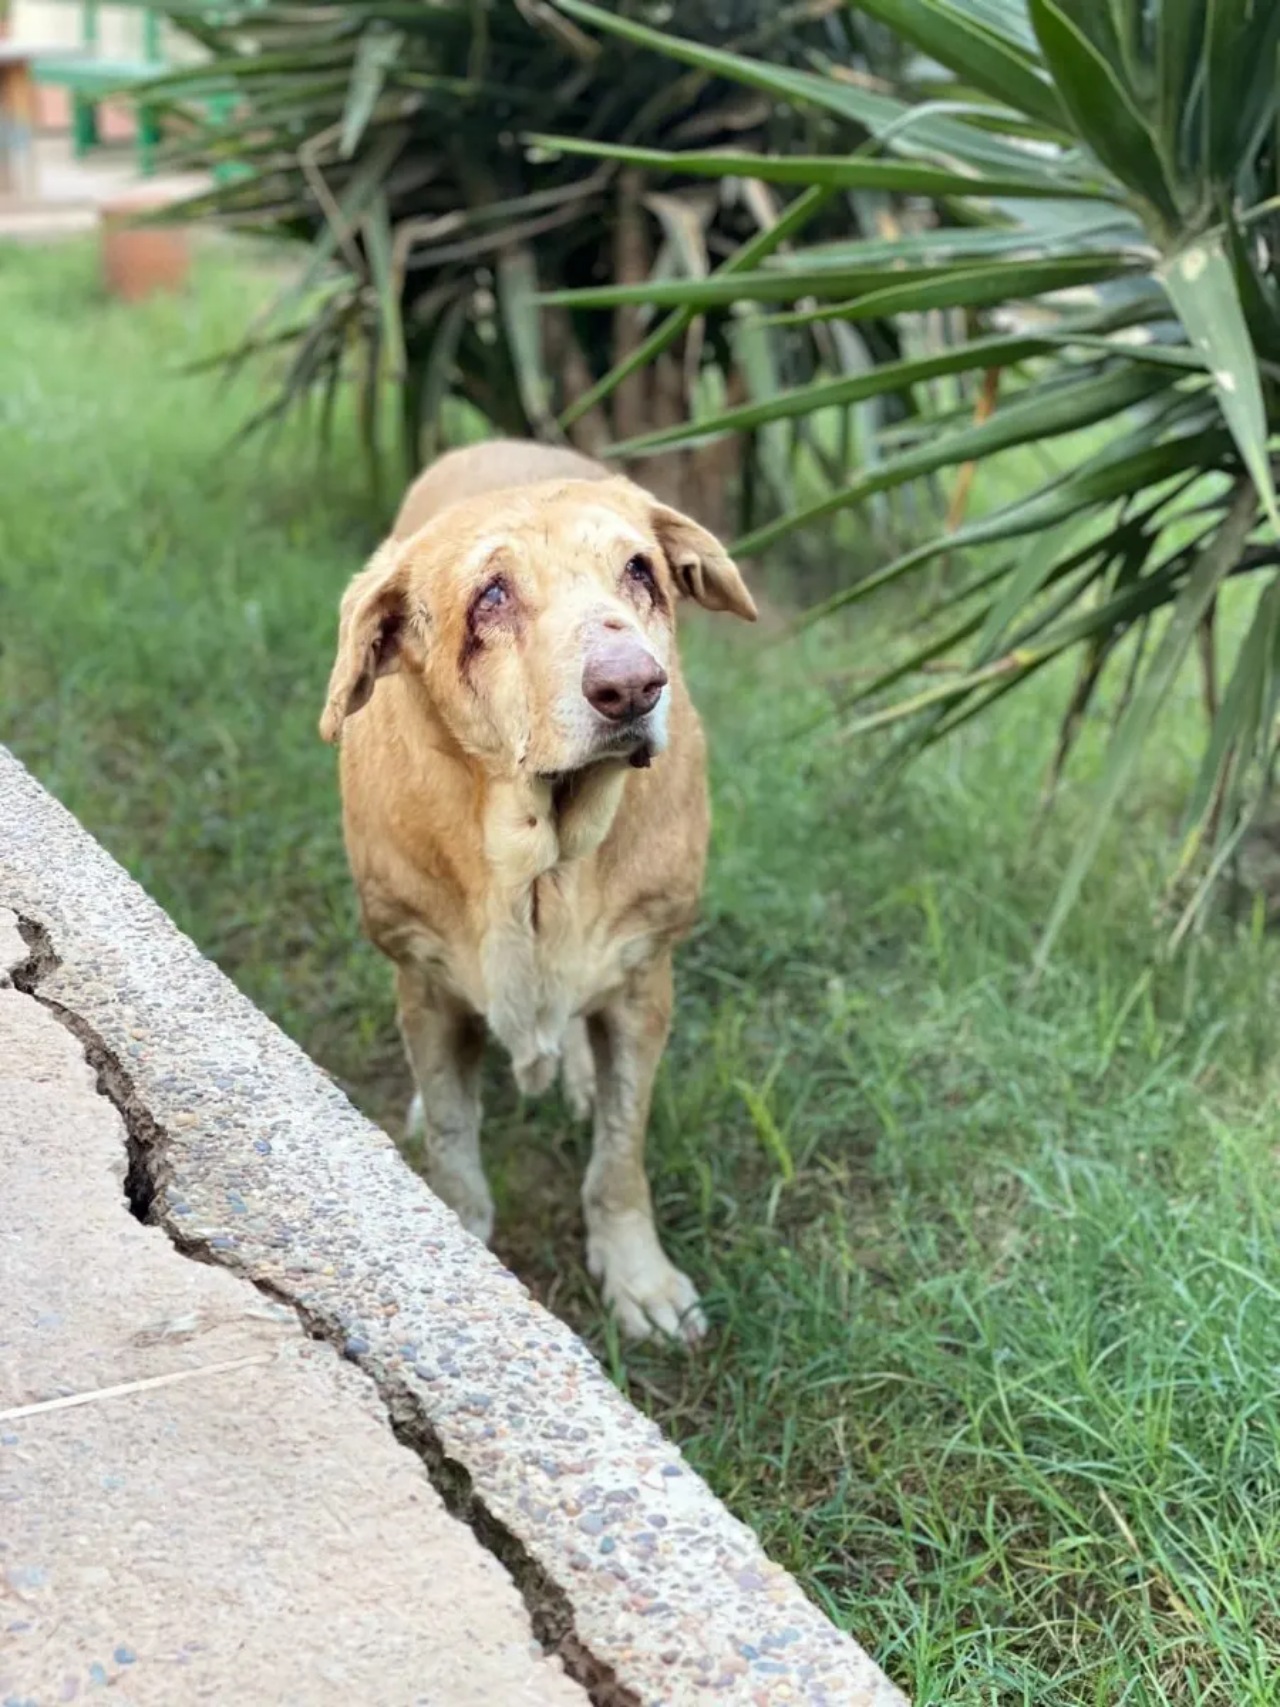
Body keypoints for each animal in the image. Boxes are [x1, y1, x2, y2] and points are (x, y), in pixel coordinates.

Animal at [322, 443, 761, 1345]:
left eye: (639, 570)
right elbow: (454, 1141)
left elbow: (620, 1155)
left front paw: (639, 1279)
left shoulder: (643, 980)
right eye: (492, 594)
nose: (634, 686)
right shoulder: (422, 979)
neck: (544, 853)